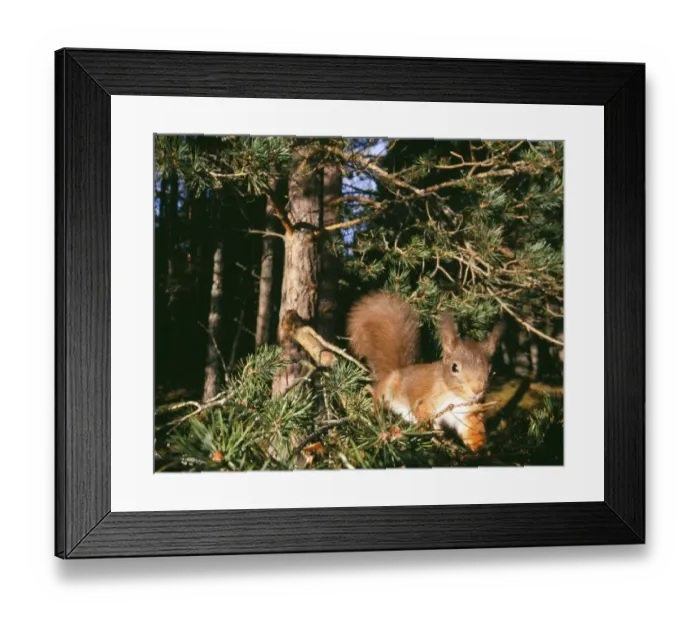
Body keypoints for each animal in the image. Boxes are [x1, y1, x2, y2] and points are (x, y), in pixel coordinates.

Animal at [347, 291, 505, 453]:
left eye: (491, 370)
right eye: (454, 367)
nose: (477, 390)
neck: (454, 396)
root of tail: (396, 370)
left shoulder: (467, 412)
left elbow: (471, 427)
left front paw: (478, 445)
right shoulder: (425, 398)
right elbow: (422, 411)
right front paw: (427, 427)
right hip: (388, 389)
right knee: (377, 395)